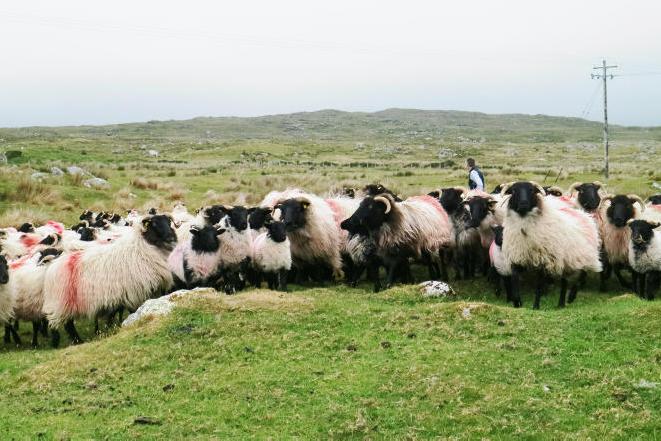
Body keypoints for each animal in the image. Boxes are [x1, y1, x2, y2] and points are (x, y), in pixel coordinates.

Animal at [42, 215, 177, 347]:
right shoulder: (135, 291)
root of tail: (52, 265)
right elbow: (134, 309)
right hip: (62, 302)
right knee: (66, 325)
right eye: (154, 224)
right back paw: (74, 341)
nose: (171, 237)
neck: (143, 246)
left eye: (168, 222)